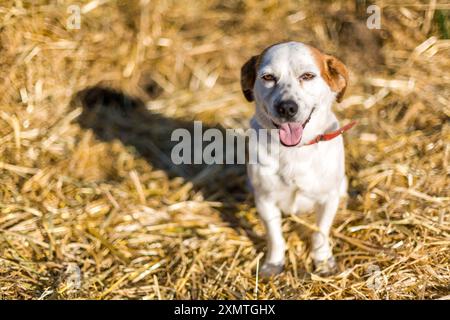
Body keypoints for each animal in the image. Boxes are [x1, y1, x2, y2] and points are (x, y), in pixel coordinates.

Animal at [239, 41, 356, 276]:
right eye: (268, 77)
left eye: (308, 76)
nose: (287, 107)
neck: (295, 150)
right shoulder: (265, 200)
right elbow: (275, 237)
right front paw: (273, 263)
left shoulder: (328, 199)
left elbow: (320, 233)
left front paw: (323, 260)